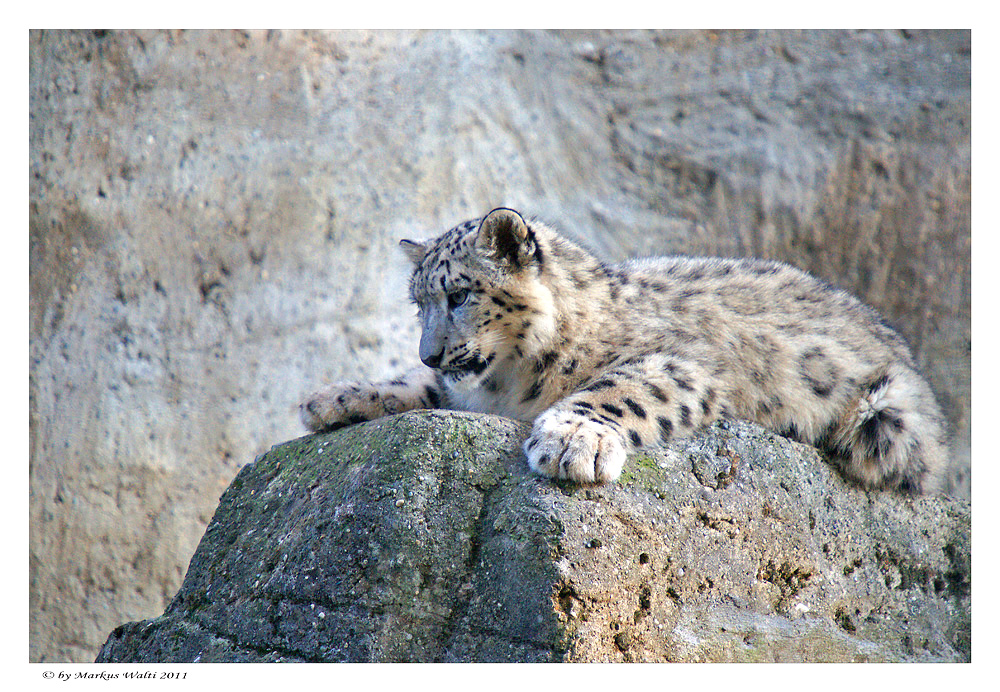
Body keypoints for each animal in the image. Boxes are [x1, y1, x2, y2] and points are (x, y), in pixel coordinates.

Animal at [300, 205, 948, 492]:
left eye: (458, 294)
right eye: (419, 304)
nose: (430, 353)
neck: (508, 382)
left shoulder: (680, 362)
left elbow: (619, 390)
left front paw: (572, 443)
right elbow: (427, 391)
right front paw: (335, 398)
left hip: (887, 417)